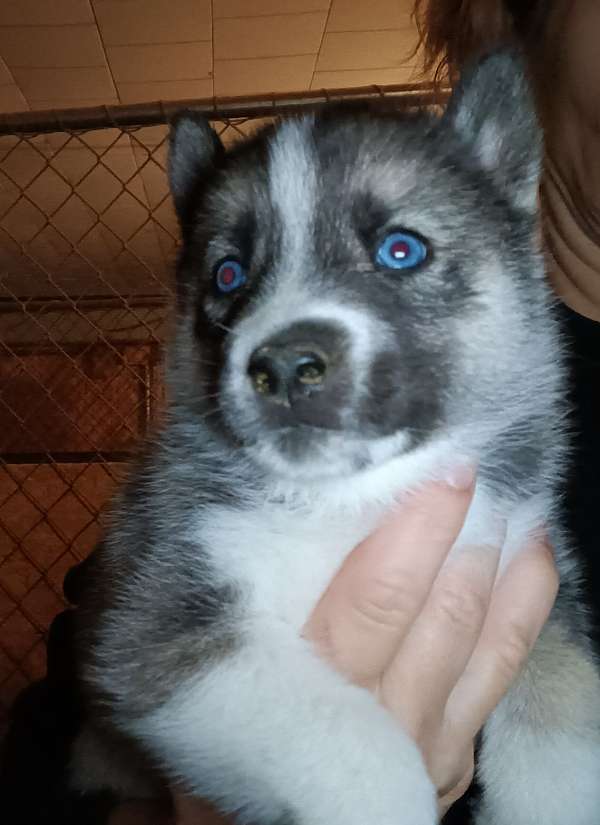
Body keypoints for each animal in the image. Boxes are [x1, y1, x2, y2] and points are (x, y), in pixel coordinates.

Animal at [75, 53, 600, 824]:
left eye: (401, 249)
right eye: (228, 273)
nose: (285, 368)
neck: (352, 504)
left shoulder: (535, 582)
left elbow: (565, 701)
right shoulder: (163, 622)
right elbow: (349, 739)